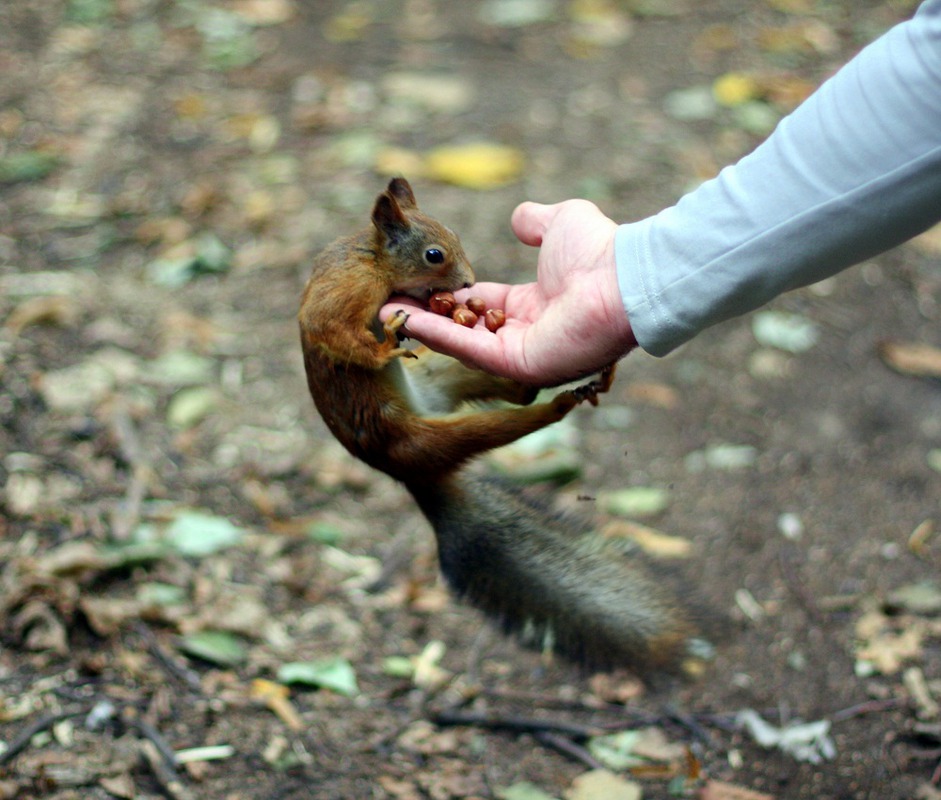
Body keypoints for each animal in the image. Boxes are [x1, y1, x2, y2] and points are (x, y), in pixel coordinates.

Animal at [300, 178, 696, 672]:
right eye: (434, 254)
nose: (470, 284)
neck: (373, 259)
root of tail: (408, 475)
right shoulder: (342, 295)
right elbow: (333, 333)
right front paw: (387, 344)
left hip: (446, 374)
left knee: (519, 389)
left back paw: (592, 378)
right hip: (428, 437)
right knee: (513, 419)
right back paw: (558, 405)